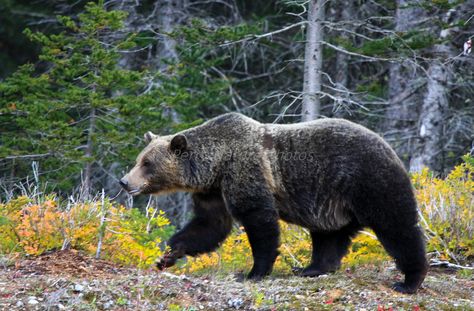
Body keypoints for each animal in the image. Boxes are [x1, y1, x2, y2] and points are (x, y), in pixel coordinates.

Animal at [120, 113, 428, 294]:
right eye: (140, 159)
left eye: (147, 164)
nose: (124, 181)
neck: (216, 165)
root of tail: (387, 144)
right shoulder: (213, 192)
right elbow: (209, 225)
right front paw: (167, 255)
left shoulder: (246, 172)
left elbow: (259, 220)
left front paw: (253, 272)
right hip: (331, 202)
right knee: (329, 236)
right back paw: (311, 269)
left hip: (368, 179)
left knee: (397, 225)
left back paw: (409, 280)